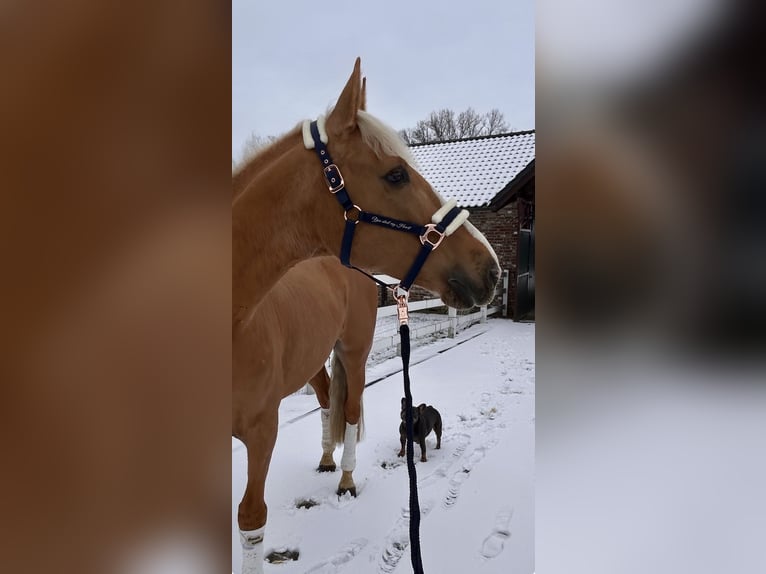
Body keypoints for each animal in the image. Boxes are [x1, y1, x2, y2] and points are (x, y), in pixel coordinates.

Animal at [232, 257, 378, 573]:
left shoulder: (262, 431)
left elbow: (251, 514)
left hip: (354, 356)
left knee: (349, 411)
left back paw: (346, 481)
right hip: (312, 357)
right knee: (325, 398)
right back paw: (326, 460)